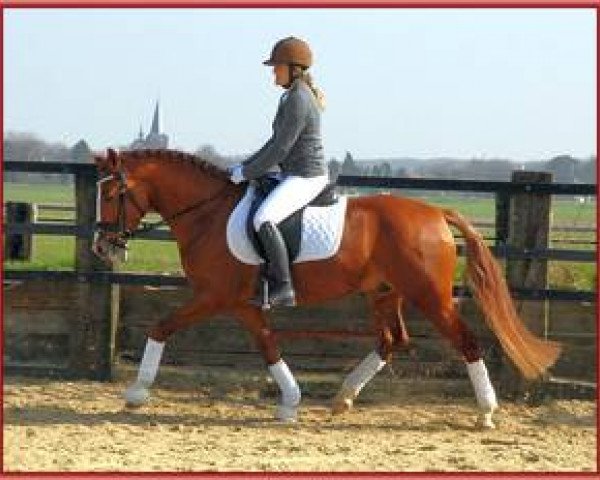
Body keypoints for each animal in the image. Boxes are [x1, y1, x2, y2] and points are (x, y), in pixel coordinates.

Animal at [91, 149, 560, 428]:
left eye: (112, 194)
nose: (101, 245)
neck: (208, 213)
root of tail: (434, 211)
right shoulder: (242, 304)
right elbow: (268, 346)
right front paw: (290, 402)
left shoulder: (213, 297)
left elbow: (160, 327)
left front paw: (136, 394)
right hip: (384, 293)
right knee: (392, 341)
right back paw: (343, 398)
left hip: (429, 296)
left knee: (466, 341)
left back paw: (485, 411)